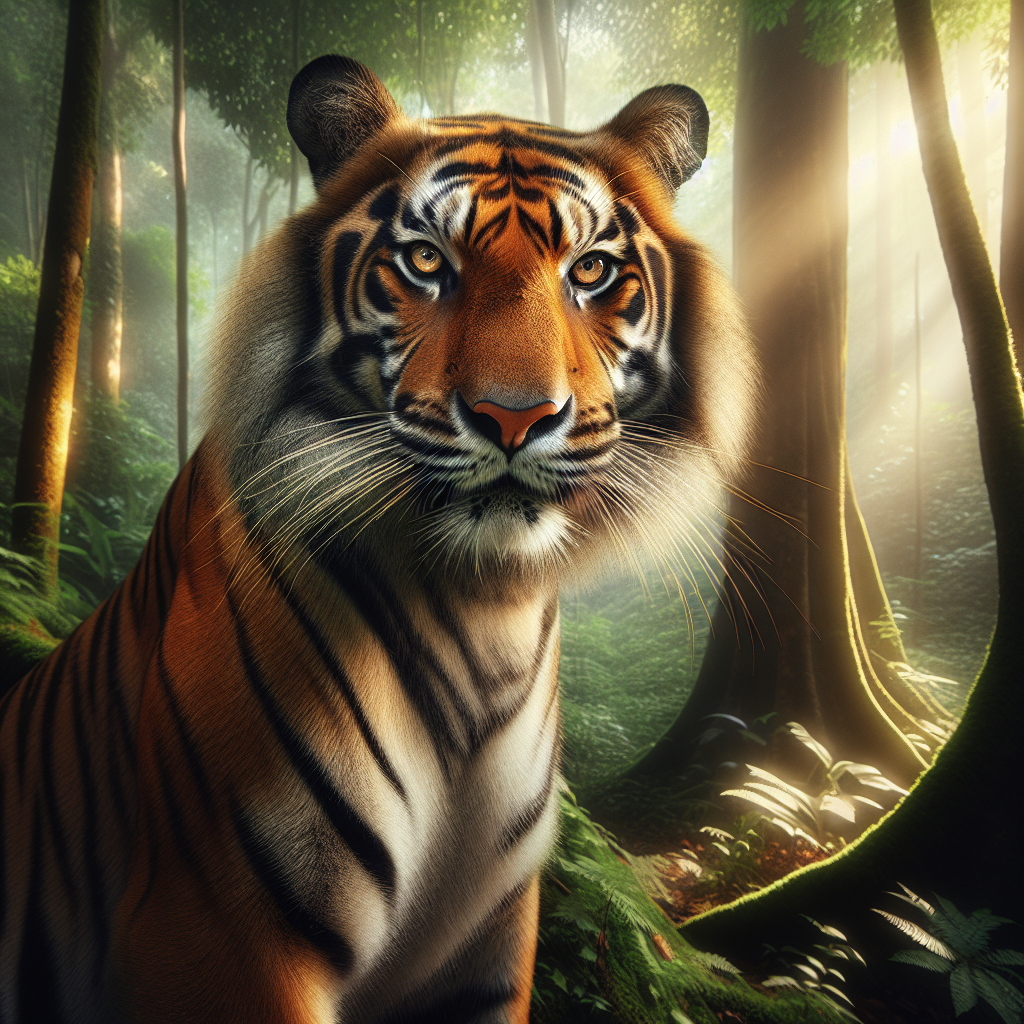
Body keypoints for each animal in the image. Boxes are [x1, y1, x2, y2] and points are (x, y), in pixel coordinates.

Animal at [0, 55, 755, 1024]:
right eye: (426, 261)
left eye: (590, 271)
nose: (517, 418)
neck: (484, 608)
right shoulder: (216, 930)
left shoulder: (485, 948)